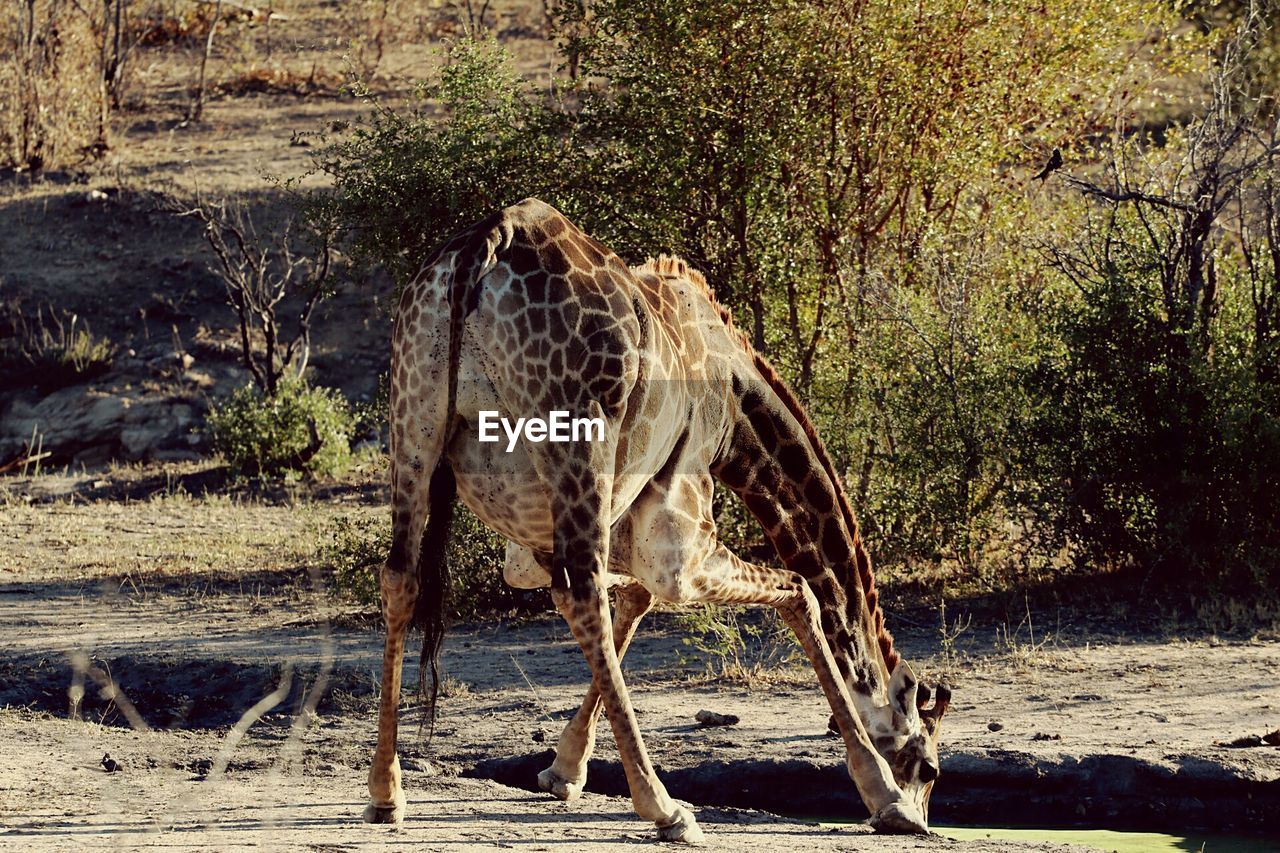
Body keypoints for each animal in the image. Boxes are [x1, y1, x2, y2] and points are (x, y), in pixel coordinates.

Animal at [368, 197, 952, 835]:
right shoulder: (682, 547)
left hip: (413, 421)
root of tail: (486, 244)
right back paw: (664, 806)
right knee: (581, 591)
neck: (737, 404)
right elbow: (801, 591)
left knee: (401, 577)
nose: (927, 818)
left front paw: (563, 770)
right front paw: (883, 793)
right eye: (929, 767)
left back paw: (386, 793)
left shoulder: (542, 546)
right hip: (579, 438)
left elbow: (631, 603)